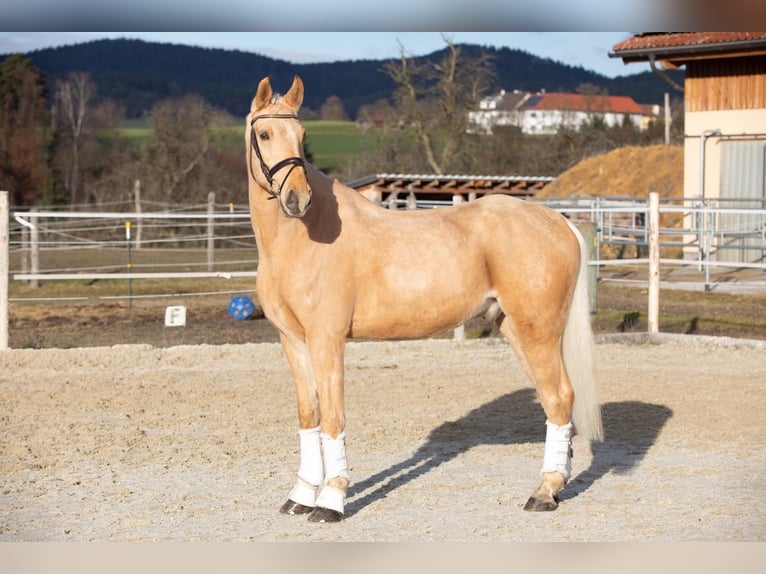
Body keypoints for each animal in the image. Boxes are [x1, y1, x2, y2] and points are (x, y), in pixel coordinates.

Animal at [246, 74, 608, 524]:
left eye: (302, 135)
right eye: (264, 133)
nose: (297, 199)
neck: (302, 238)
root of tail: (558, 221)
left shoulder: (327, 339)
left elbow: (332, 416)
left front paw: (330, 501)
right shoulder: (293, 341)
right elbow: (308, 414)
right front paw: (300, 496)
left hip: (538, 331)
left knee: (560, 397)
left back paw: (544, 493)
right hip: (516, 329)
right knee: (552, 397)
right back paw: (553, 486)